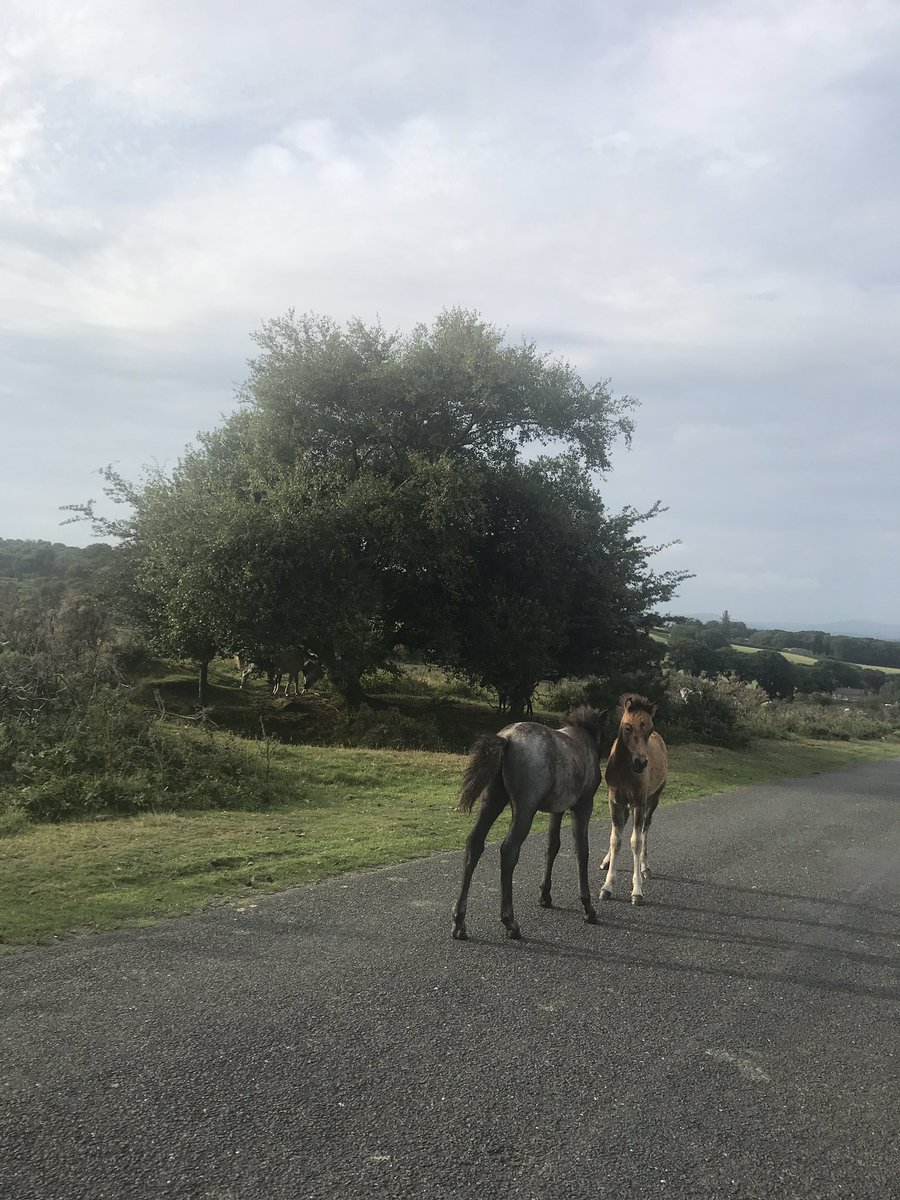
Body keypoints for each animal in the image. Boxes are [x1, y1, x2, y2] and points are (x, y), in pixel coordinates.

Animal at [451, 706, 607, 941]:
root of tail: (506, 738)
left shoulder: (557, 809)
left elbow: (552, 846)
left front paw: (545, 896)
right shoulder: (583, 805)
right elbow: (582, 850)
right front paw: (588, 908)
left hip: (492, 801)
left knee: (474, 843)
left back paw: (459, 922)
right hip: (524, 809)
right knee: (509, 850)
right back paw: (510, 922)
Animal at [599, 694, 668, 906]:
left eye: (650, 728)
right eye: (628, 727)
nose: (641, 763)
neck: (625, 770)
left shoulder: (639, 801)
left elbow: (635, 841)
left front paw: (637, 891)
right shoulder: (614, 800)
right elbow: (616, 839)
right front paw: (607, 886)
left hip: (653, 798)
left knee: (645, 827)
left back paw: (645, 868)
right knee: (624, 827)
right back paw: (606, 861)